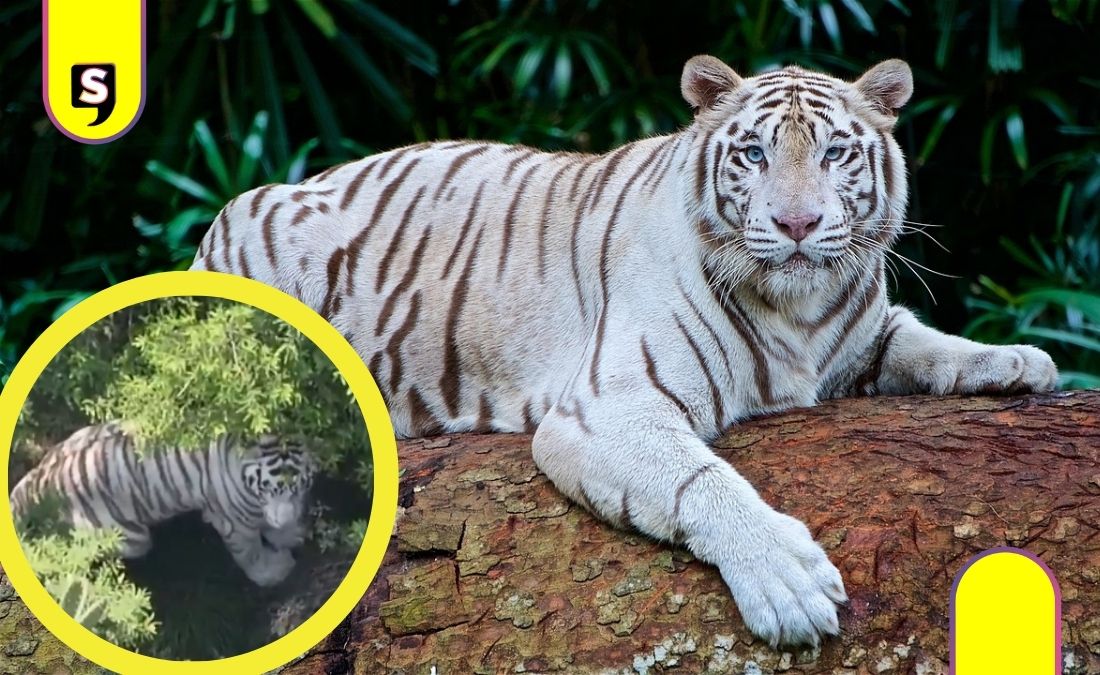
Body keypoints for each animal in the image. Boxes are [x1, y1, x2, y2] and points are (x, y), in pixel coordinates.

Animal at [9, 423, 316, 587]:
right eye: (267, 488)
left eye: (300, 486)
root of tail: (38, 481)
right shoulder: (234, 520)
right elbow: (251, 553)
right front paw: (274, 571)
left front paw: (290, 533)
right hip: (130, 538)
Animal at [190, 55, 1058, 646]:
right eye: (754, 155)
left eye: (835, 154)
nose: (799, 224)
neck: (800, 314)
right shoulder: (610, 407)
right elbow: (702, 481)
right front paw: (787, 584)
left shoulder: (860, 336)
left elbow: (922, 339)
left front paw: (1019, 359)